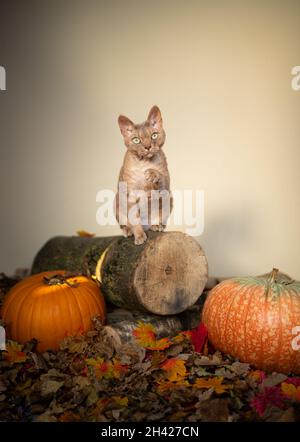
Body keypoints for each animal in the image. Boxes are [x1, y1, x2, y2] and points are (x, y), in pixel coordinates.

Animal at [115, 106, 172, 247]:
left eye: (154, 135)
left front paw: (153, 173)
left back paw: (156, 226)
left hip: (170, 199)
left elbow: (161, 178)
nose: (147, 147)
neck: (144, 163)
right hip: (117, 200)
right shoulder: (130, 194)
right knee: (125, 223)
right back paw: (128, 231)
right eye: (136, 140)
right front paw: (139, 236)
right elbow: (134, 219)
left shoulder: (166, 185)